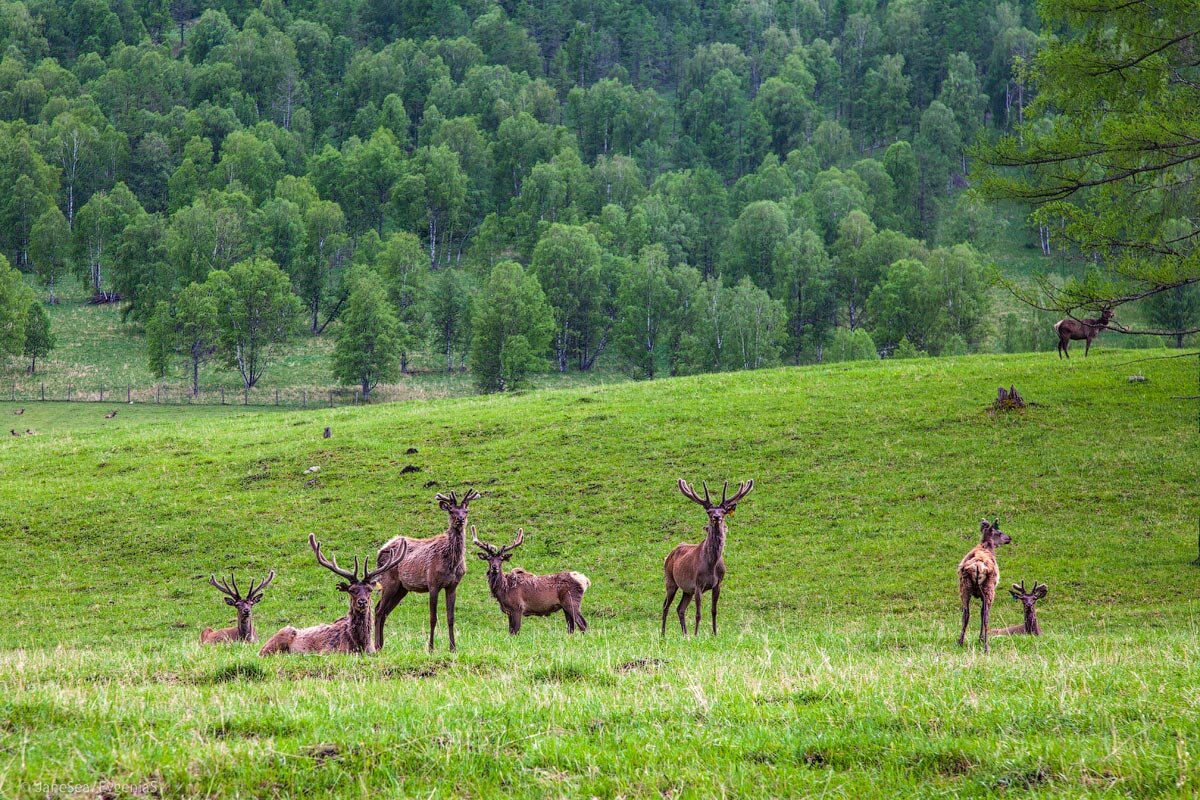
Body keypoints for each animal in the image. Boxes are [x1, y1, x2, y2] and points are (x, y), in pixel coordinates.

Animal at [258, 537, 408, 657]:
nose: (362, 602)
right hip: (276, 641)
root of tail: (260, 649)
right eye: (352, 590)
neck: (360, 645)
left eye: (369, 590)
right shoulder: (329, 651)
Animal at [376, 489, 484, 652]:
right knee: (378, 610)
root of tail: (380, 551)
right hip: (389, 581)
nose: (460, 519)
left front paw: (453, 648)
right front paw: (431, 648)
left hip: (402, 588)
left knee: (384, 612)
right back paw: (376, 645)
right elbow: (433, 618)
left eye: (466, 510)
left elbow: (451, 618)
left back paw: (381, 645)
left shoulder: (452, 586)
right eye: (451, 510)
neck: (452, 563)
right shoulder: (433, 583)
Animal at [662, 474, 753, 638]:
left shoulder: (718, 584)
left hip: (686, 590)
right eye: (709, 512)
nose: (716, 517)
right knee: (666, 606)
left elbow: (714, 611)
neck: (711, 565)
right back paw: (663, 634)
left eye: (723, 511)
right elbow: (698, 614)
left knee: (680, 608)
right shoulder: (698, 584)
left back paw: (685, 634)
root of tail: (669, 555)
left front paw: (715, 633)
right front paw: (697, 634)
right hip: (670, 580)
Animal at [955, 520, 1012, 657]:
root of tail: (978, 565)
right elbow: (982, 613)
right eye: (999, 532)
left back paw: (960, 642)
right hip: (989, 590)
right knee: (986, 616)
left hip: (964, 588)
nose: (1009, 537)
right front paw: (980, 638)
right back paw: (986, 646)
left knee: (965, 614)